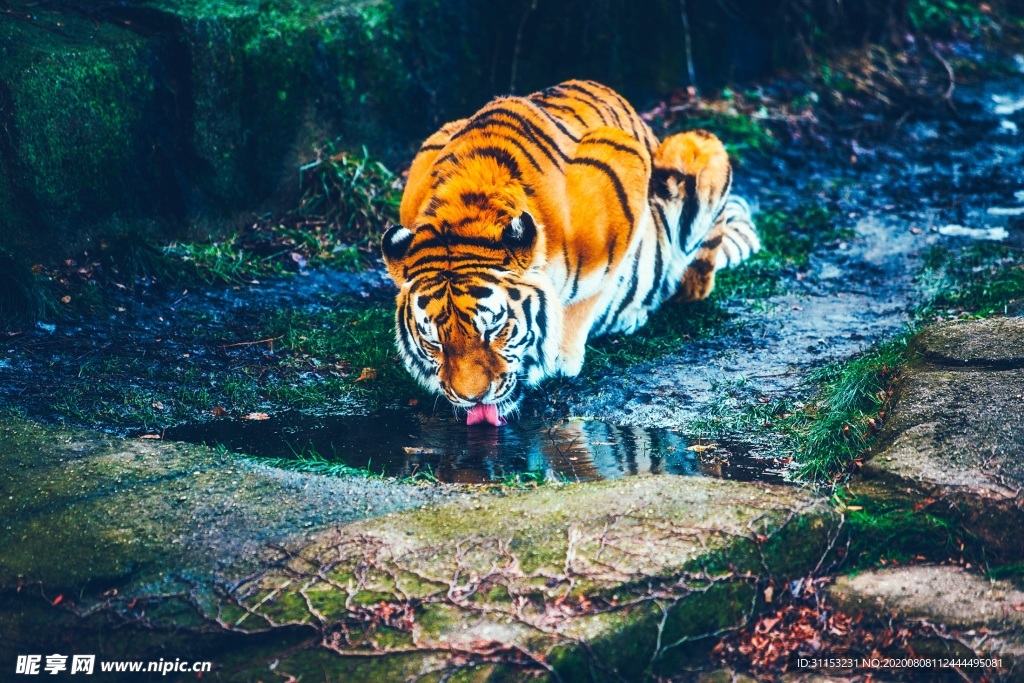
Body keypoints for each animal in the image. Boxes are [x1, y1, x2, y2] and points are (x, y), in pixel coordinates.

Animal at [382, 80, 759, 426]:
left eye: (495, 330)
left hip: (695, 148)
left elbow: (589, 294)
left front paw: (562, 357)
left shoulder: (624, 169)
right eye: (434, 342)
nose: (473, 397)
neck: (467, 207)